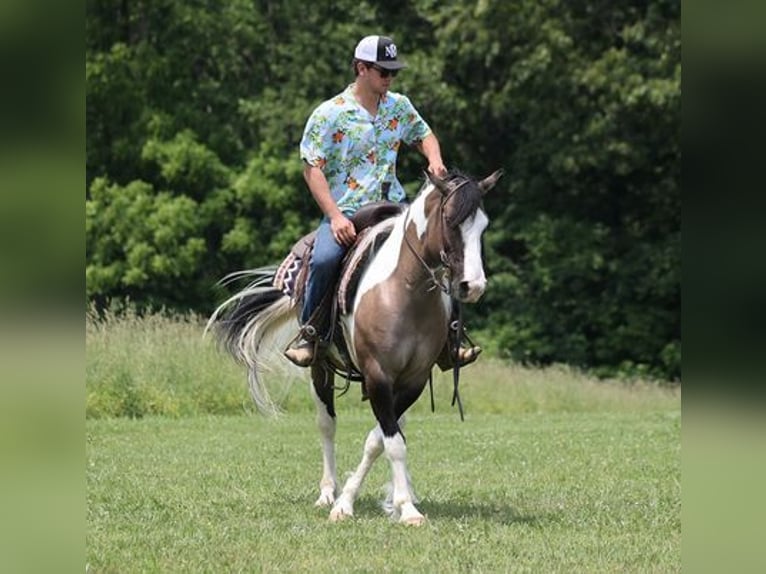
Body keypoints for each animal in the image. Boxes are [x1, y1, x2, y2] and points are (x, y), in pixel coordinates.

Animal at [207, 168, 504, 528]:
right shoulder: (378, 375)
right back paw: (326, 493)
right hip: (319, 369)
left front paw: (393, 500)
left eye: (483, 225)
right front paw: (374, 506)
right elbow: (391, 443)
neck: (404, 291)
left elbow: (382, 439)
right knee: (326, 425)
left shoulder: (413, 379)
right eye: (450, 219)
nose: (472, 286)